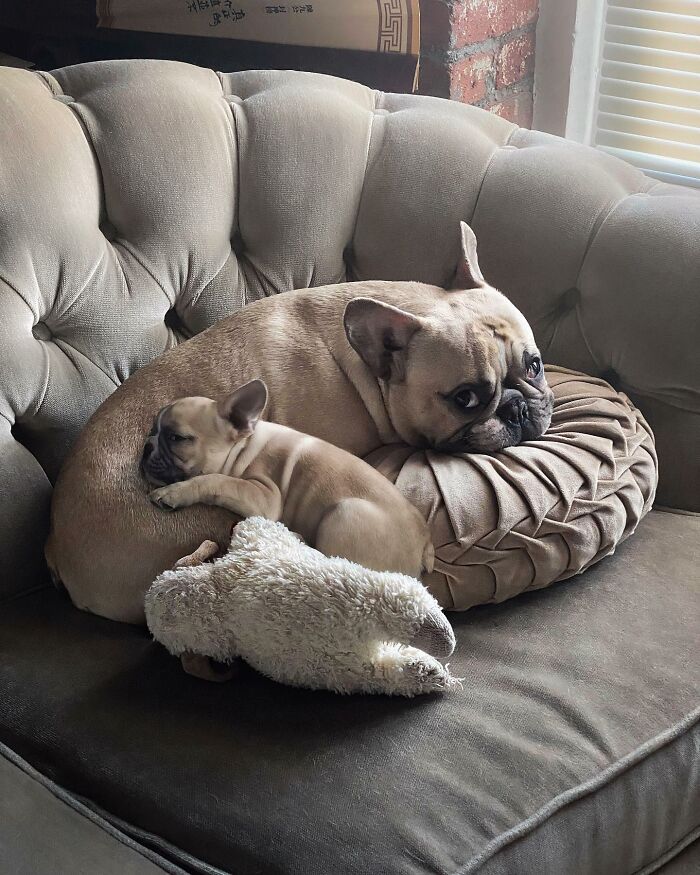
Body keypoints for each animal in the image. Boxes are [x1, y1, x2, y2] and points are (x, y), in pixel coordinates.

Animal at [142, 378, 434, 580]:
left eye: (177, 438)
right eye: (152, 431)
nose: (146, 445)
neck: (242, 447)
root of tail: (424, 546)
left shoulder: (264, 497)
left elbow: (215, 480)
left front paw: (174, 492)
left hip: (343, 513)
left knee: (335, 562)